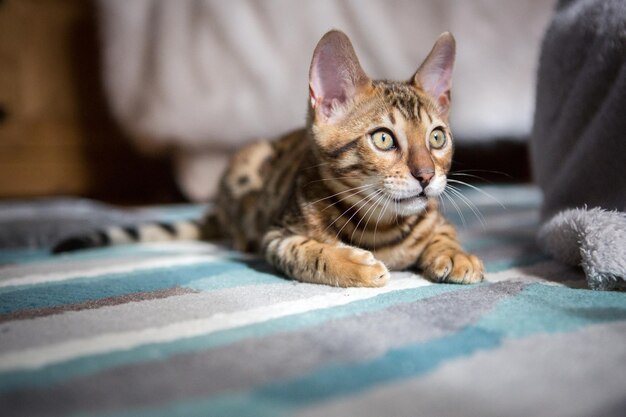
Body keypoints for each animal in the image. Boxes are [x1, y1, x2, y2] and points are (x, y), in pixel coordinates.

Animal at [53, 30, 482, 288]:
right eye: (383, 138)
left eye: (437, 138)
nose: (426, 175)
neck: (382, 227)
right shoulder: (276, 236)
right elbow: (307, 252)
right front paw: (353, 265)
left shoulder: (436, 217)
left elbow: (444, 232)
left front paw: (455, 254)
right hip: (247, 163)